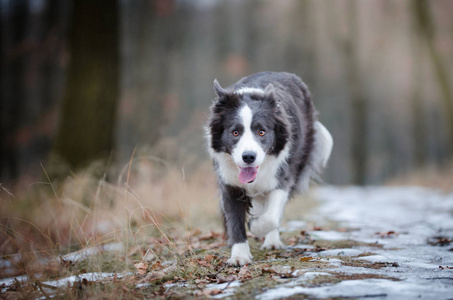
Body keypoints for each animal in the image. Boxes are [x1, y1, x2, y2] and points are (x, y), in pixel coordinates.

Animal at [206, 71, 332, 266]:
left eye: (261, 132)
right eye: (235, 132)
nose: (248, 157)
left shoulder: (282, 175)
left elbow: (271, 215)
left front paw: (255, 226)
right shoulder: (229, 182)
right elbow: (234, 219)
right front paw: (239, 256)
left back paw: (271, 241)